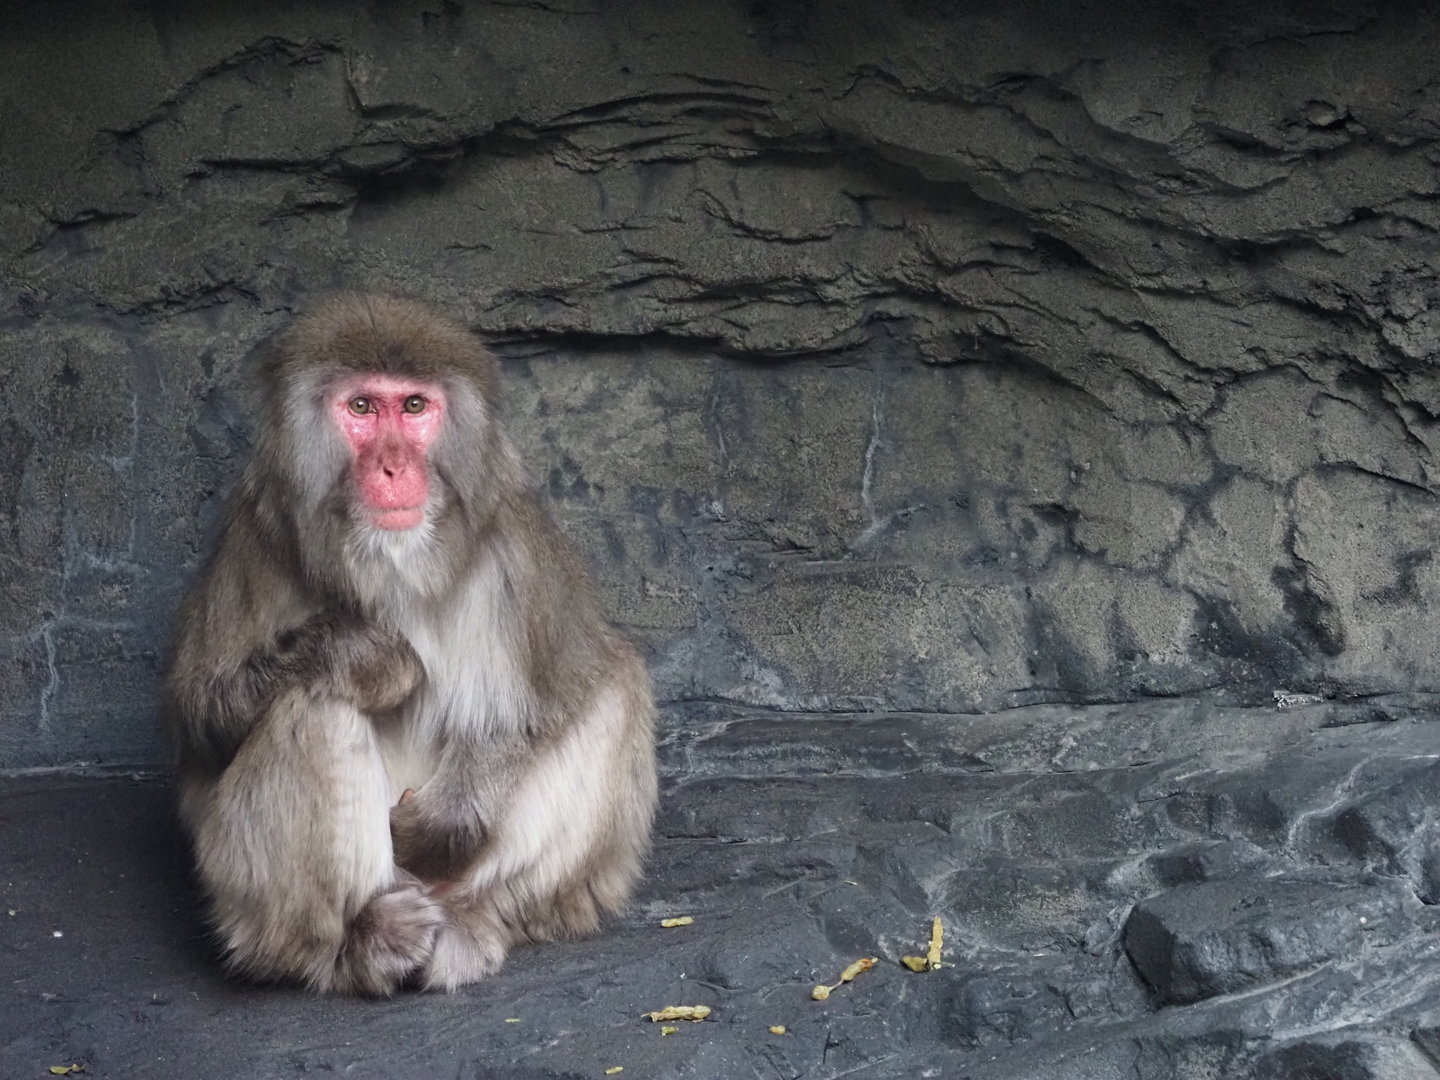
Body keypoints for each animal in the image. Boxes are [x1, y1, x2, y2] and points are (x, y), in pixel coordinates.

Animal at [162, 293, 658, 994]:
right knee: (316, 707)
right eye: (363, 407)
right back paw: (364, 938)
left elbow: (563, 691)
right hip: (249, 910)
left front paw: (448, 820)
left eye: (415, 406)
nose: (393, 466)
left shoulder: (517, 535)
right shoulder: (256, 530)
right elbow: (201, 713)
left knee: (619, 685)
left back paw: (480, 914)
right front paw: (362, 653)